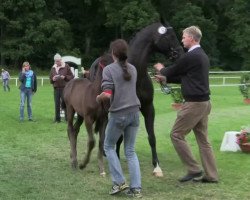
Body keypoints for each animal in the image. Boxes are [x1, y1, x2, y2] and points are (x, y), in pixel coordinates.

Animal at [88, 20, 184, 177]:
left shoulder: (148, 108)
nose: (180, 53)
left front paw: (156, 166)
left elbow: (151, 137)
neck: (135, 74)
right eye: (169, 36)